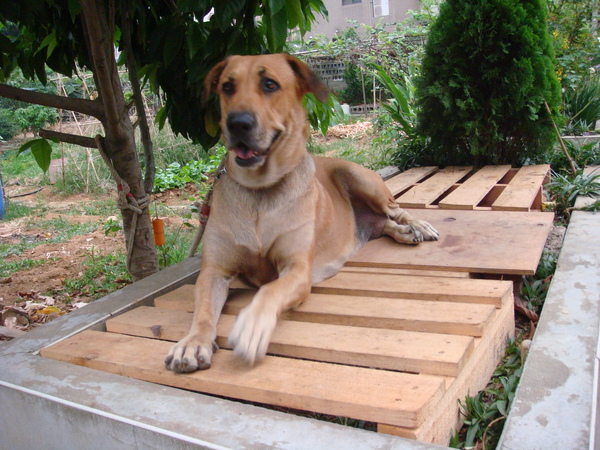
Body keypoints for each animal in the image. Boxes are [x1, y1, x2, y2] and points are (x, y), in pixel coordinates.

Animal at [164, 52, 436, 370]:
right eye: (227, 87)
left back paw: (416, 225)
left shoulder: (297, 269)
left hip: (359, 177)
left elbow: (269, 290)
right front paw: (193, 343)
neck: (260, 191)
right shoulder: (215, 271)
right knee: (382, 224)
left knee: (395, 210)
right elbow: (204, 308)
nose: (237, 124)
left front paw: (252, 325)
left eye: (269, 84)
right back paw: (403, 232)